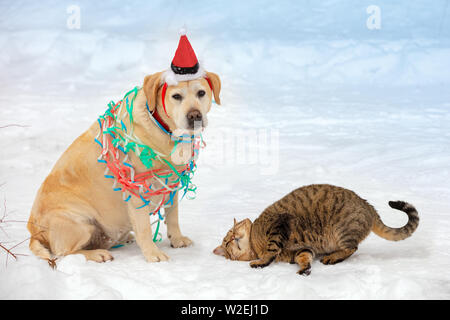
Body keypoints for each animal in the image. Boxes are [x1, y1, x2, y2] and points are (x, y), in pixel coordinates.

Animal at [213, 184, 420, 276]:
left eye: (229, 235)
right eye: (227, 242)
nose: (232, 238)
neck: (255, 244)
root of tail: (368, 207)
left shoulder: (278, 225)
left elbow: (271, 250)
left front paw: (260, 261)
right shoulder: (303, 249)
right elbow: (303, 257)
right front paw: (304, 268)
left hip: (341, 230)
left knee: (352, 247)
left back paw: (332, 257)